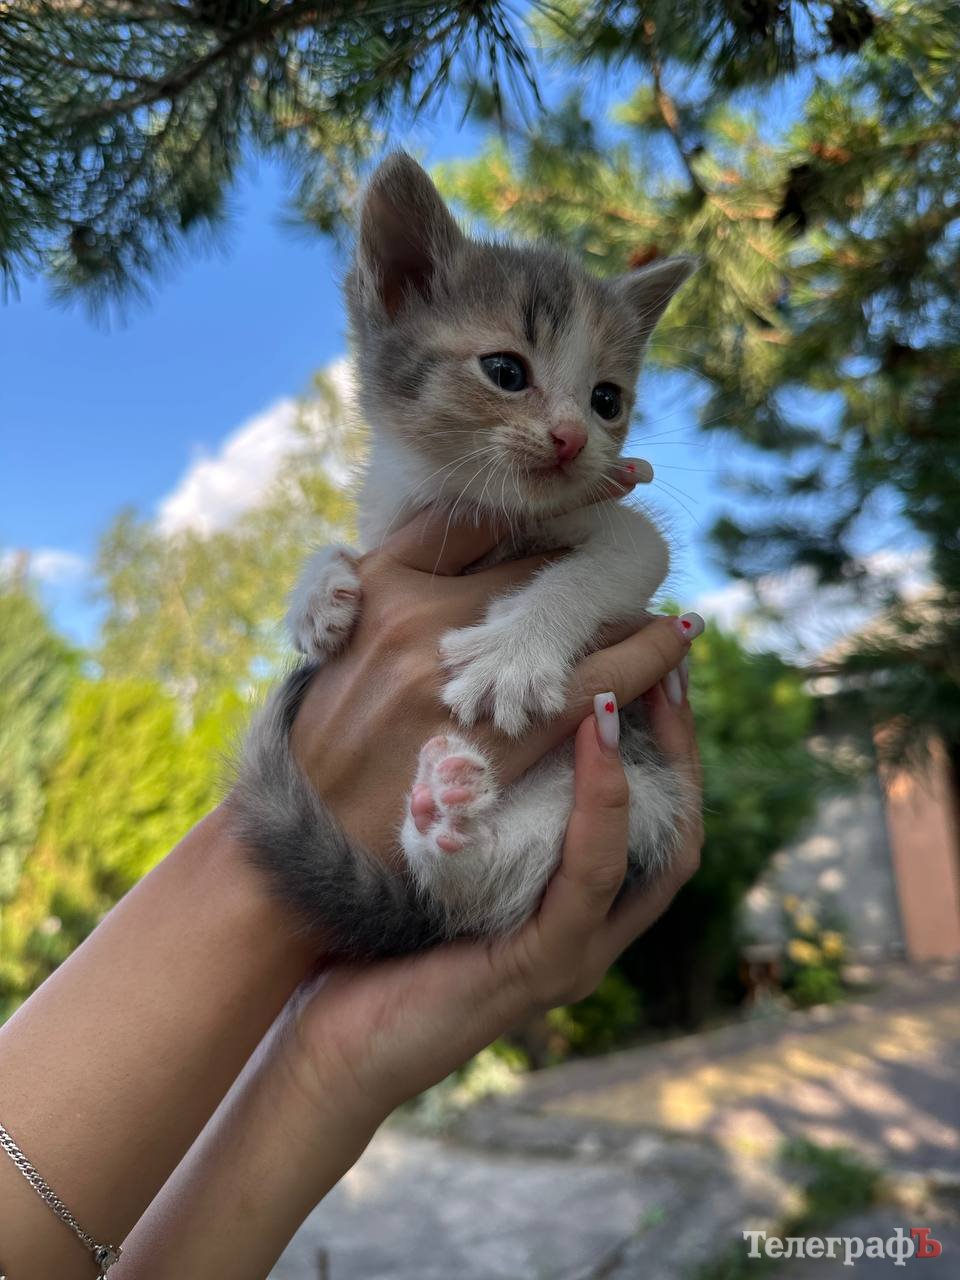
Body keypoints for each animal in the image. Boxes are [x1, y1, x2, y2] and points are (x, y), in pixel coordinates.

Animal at [230, 152, 695, 953]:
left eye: (607, 399)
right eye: (506, 372)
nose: (574, 438)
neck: (455, 497)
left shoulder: (624, 529)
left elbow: (617, 561)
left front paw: (512, 653)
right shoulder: (393, 515)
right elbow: (353, 545)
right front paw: (318, 597)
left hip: (635, 792)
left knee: (485, 889)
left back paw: (453, 835)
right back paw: (442, 816)